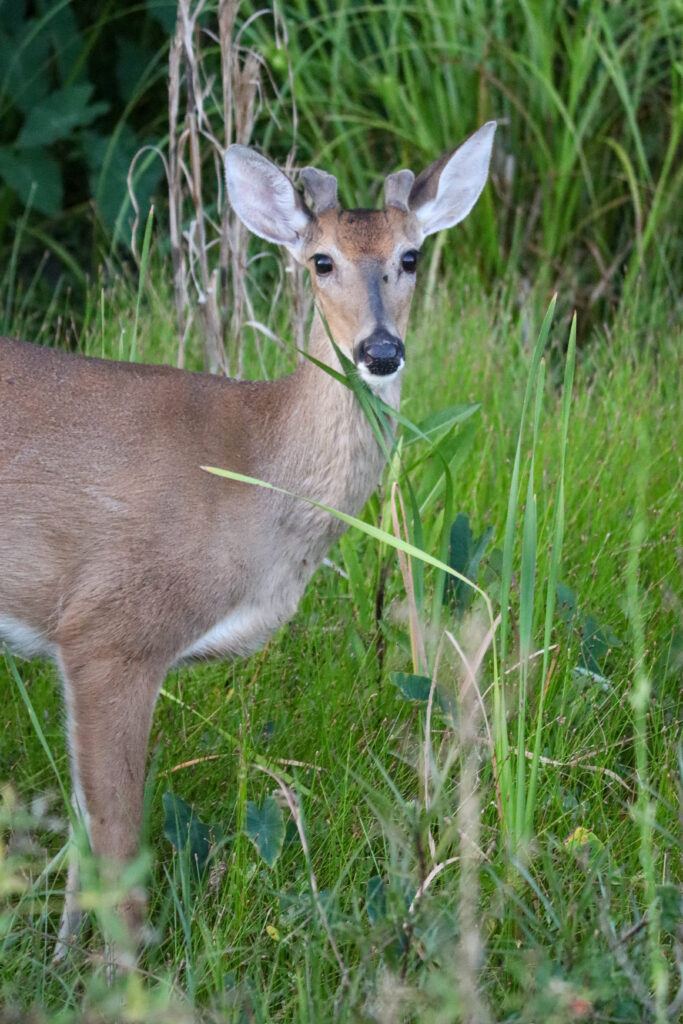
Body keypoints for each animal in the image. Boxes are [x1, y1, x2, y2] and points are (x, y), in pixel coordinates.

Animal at [0, 121, 495, 959]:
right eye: (320, 260)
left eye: (410, 256)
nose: (380, 351)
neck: (252, 473)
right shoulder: (111, 629)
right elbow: (120, 855)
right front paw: (120, 976)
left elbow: (83, 837)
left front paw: (64, 959)